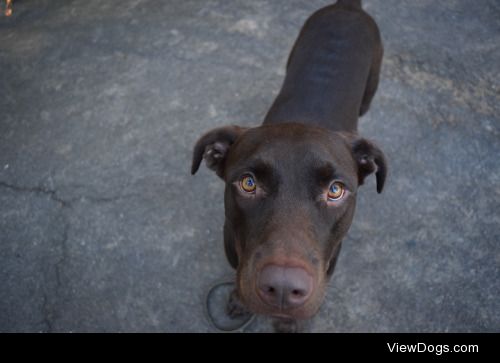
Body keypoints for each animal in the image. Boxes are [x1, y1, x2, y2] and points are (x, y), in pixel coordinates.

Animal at [192, 0, 386, 334]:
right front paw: (239, 300)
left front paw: (289, 322)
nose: (282, 288)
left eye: (335, 190)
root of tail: (347, 5)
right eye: (248, 183)